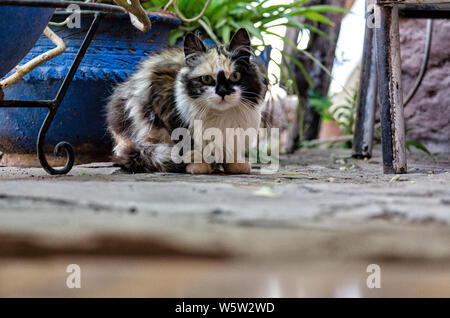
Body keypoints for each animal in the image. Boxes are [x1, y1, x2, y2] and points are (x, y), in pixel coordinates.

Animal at [105, 28, 268, 174]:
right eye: (206, 79)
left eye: (235, 76)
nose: (222, 92)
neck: (220, 115)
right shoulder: (164, 104)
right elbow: (188, 143)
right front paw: (198, 165)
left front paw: (235, 164)